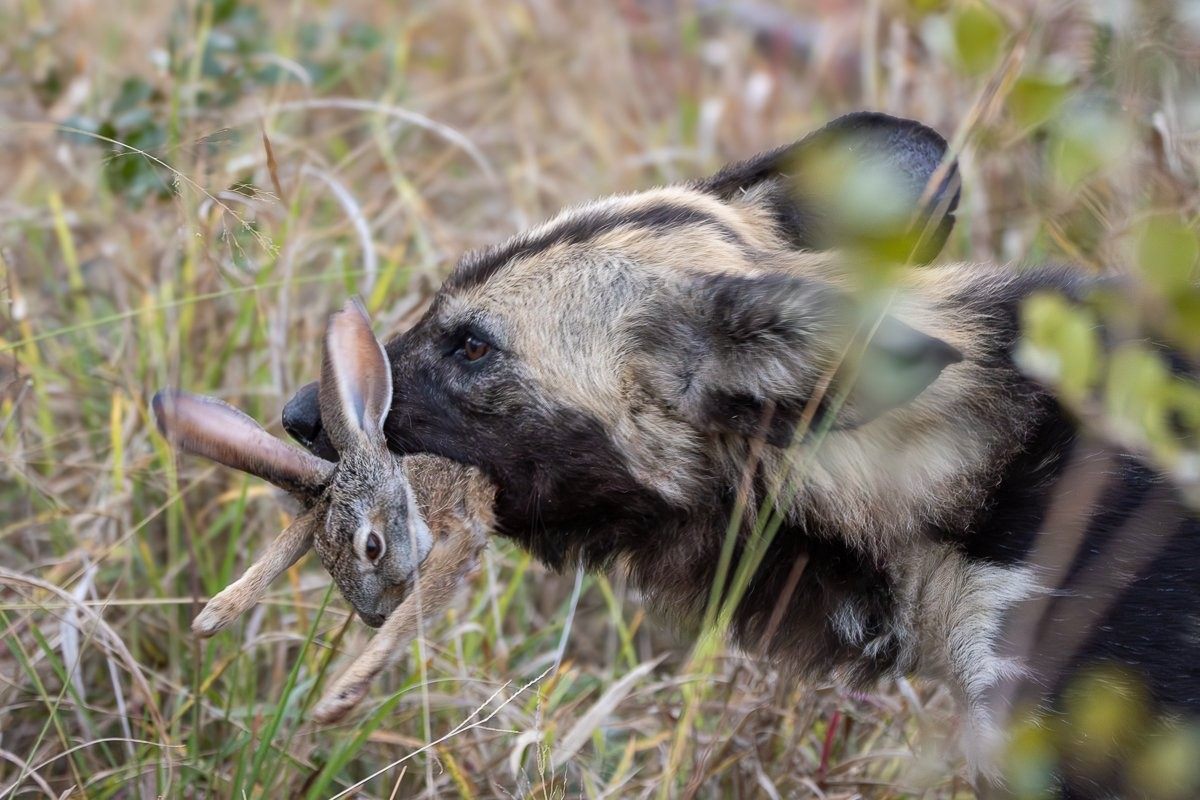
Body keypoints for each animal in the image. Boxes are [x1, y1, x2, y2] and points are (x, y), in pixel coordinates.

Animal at [152, 298, 495, 722]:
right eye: (326, 562)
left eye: (372, 548)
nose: (374, 617)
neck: (414, 493)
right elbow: (290, 539)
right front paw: (215, 615)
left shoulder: (461, 534)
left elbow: (411, 615)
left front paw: (339, 698)